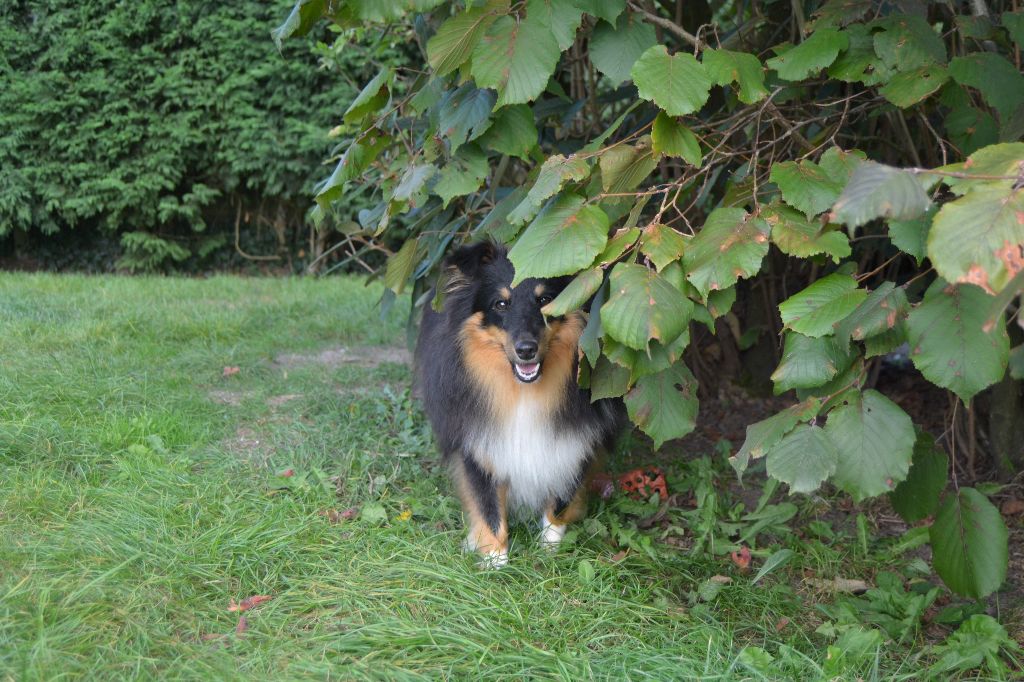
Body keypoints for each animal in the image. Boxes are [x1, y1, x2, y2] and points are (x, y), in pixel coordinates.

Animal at [415, 241, 624, 567]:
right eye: (501, 304)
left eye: (546, 300)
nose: (526, 350)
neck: (523, 393)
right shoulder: (477, 444)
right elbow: (488, 508)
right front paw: (495, 561)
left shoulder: (577, 442)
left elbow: (560, 500)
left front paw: (549, 549)